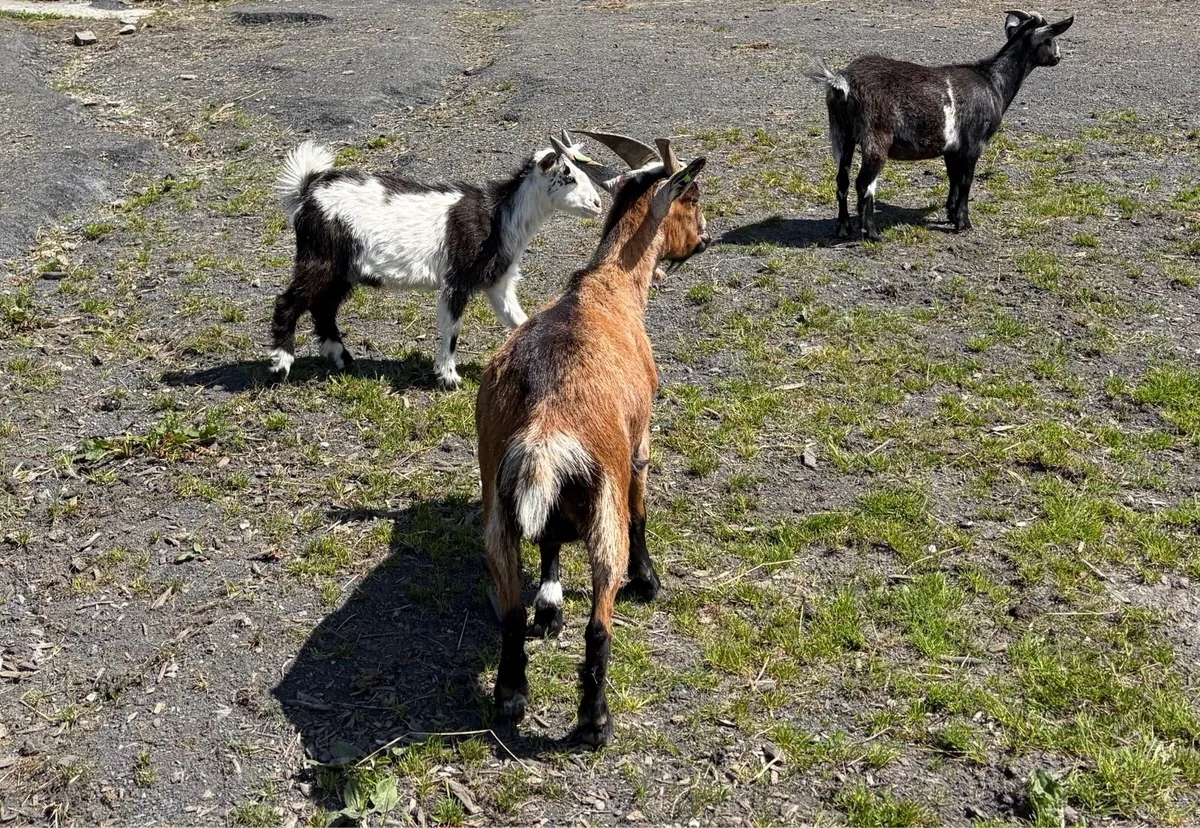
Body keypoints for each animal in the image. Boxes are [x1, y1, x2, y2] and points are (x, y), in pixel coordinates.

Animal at [268, 136, 604, 387]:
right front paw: (448, 377)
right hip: (320, 257)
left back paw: (341, 358)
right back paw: (281, 363)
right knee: (290, 301)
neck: (498, 216)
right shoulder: (457, 280)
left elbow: (518, 319)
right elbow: (451, 328)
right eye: (567, 176)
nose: (598, 204)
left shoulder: (498, 282)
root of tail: (308, 192)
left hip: (344, 270)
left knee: (323, 306)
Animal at [475, 130, 711, 747]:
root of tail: (543, 429)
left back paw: (511, 694)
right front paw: (649, 581)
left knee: (510, 611)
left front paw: (550, 604)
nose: (703, 239)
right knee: (600, 625)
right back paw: (593, 721)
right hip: (603, 518)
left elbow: (550, 541)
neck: (608, 289)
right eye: (692, 196)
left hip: (498, 511)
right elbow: (642, 509)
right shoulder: (639, 443)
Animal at [808, 9, 1074, 241]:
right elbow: (966, 181)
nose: (1058, 57)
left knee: (842, 180)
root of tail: (842, 82)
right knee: (864, 183)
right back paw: (872, 233)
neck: (993, 81)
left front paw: (950, 213)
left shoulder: (952, 147)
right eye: (1049, 39)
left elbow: (953, 177)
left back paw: (843, 228)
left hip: (841, 134)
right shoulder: (974, 143)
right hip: (875, 137)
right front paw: (963, 223)